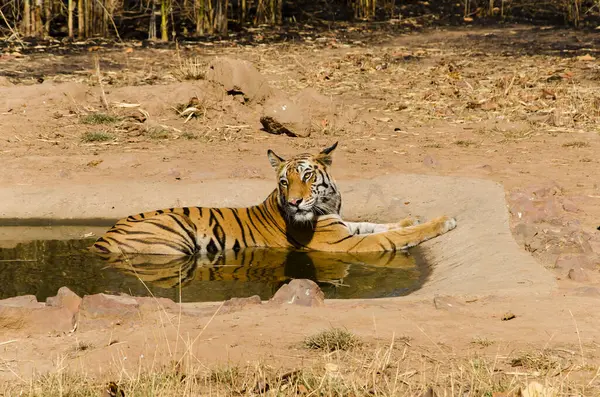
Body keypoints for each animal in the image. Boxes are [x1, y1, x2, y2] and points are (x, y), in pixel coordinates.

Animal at [88, 142, 454, 256]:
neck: (327, 206)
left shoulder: (343, 228)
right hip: (176, 233)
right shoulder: (343, 244)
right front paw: (443, 221)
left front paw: (410, 217)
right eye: (284, 182)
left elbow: (376, 224)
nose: (294, 203)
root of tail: (101, 238)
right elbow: (393, 236)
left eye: (307, 177)